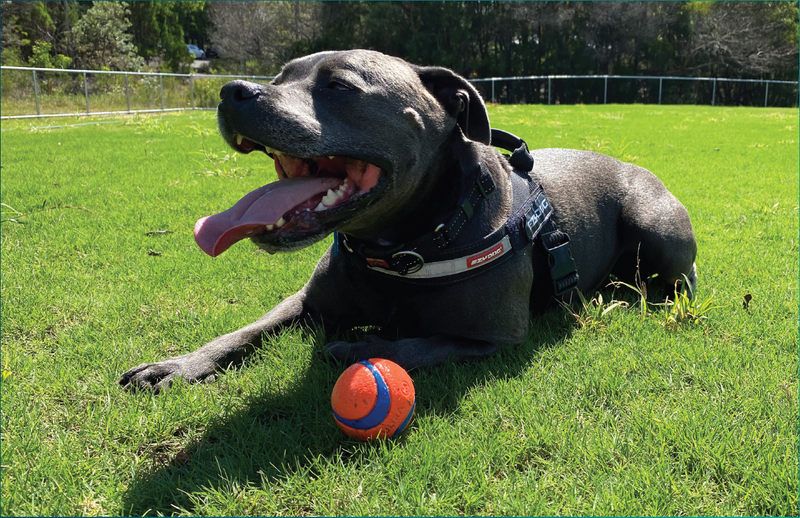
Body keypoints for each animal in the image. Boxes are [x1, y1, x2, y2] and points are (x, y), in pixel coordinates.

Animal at [117, 50, 692, 394]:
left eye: (340, 85)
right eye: (279, 77)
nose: (233, 91)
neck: (399, 249)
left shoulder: (490, 339)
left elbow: (413, 344)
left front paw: (357, 347)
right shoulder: (306, 302)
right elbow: (245, 331)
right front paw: (179, 365)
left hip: (655, 226)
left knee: (677, 280)